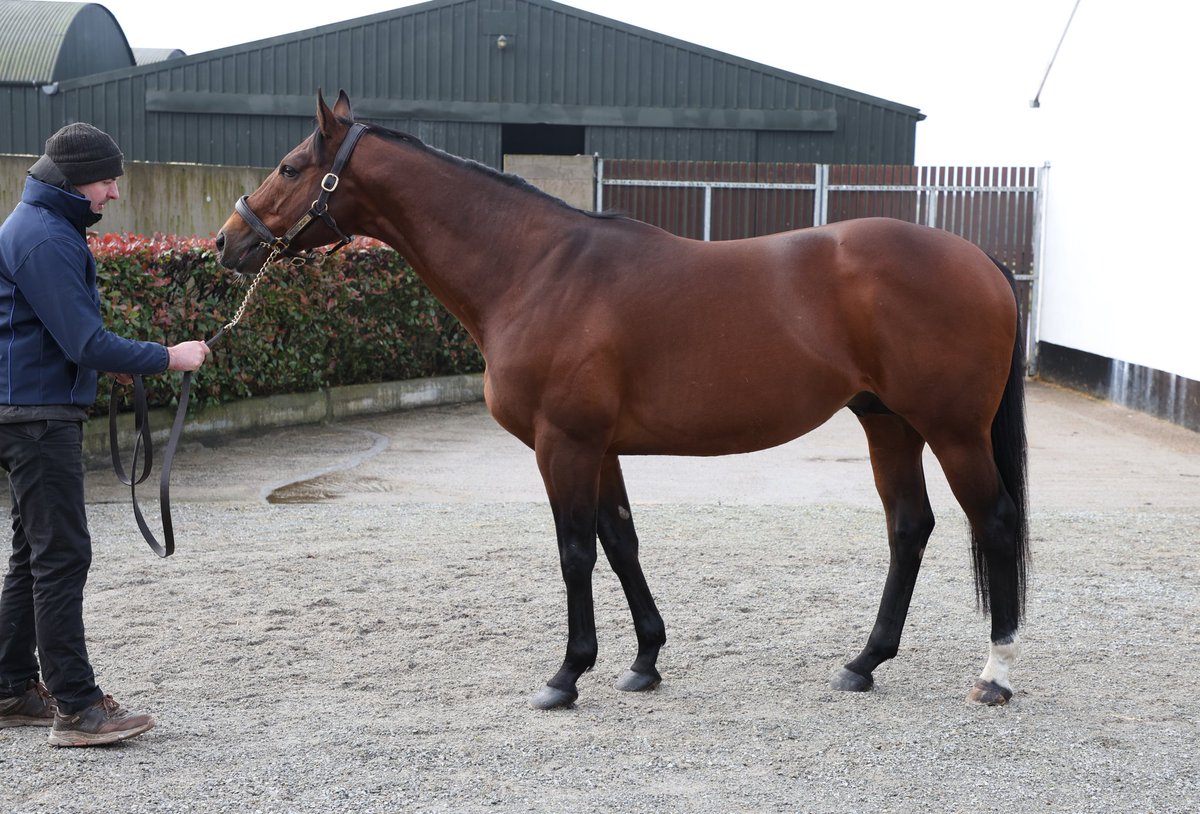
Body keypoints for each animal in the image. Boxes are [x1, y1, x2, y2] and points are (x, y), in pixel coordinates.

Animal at [216, 91, 1029, 710]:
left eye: (291, 167)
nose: (228, 242)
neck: (536, 268)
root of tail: (980, 258)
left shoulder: (564, 443)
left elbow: (576, 551)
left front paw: (567, 675)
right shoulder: (599, 446)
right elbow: (621, 541)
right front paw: (644, 661)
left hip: (952, 431)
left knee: (993, 522)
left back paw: (994, 674)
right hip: (889, 424)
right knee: (910, 528)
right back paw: (863, 663)